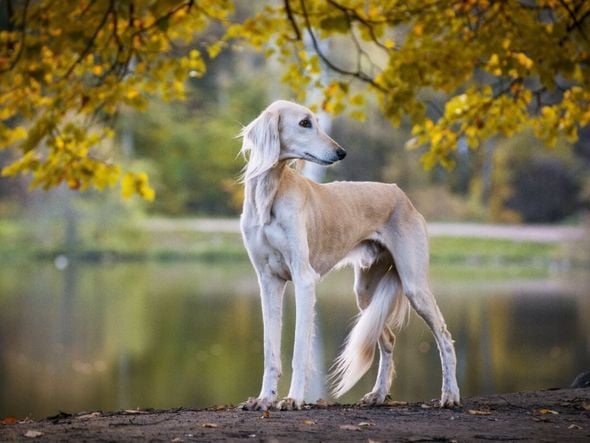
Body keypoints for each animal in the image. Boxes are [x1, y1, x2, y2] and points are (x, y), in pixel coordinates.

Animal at [238, 100, 460, 412]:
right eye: (304, 123)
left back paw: (450, 394)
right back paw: (378, 394)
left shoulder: (304, 279)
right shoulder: (268, 281)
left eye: (317, 122)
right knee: (388, 339)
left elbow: (299, 350)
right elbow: (270, 349)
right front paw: (264, 398)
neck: (269, 194)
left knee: (444, 337)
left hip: (414, 284)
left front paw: (293, 398)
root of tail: (401, 194)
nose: (341, 152)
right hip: (365, 292)